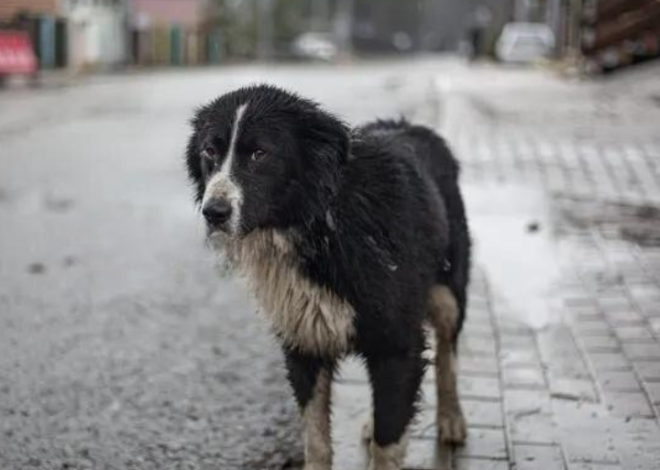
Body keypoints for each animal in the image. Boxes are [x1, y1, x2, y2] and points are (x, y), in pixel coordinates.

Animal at [186, 85, 472, 470]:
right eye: (210, 152)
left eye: (259, 154)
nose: (213, 212)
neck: (320, 222)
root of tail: (410, 124)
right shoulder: (304, 338)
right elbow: (315, 436)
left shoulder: (398, 345)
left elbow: (388, 440)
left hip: (447, 292)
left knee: (448, 354)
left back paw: (451, 418)